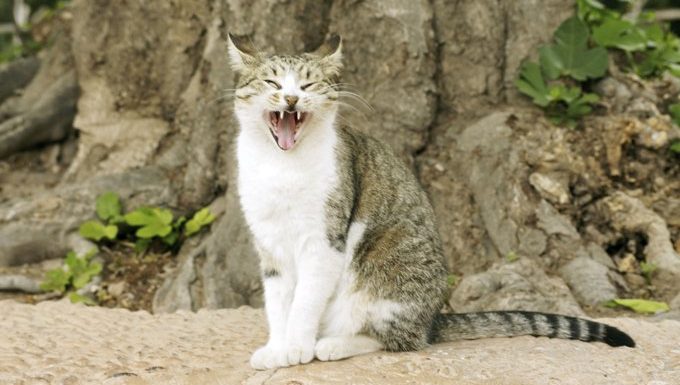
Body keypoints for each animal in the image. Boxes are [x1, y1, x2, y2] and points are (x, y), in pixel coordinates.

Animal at [228, 33, 636, 368]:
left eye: (308, 84)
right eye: (272, 82)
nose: (292, 98)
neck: (282, 167)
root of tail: (433, 318)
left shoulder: (324, 241)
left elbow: (304, 302)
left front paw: (296, 347)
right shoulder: (270, 245)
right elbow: (278, 303)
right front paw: (277, 348)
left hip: (385, 269)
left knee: (400, 339)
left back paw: (333, 344)